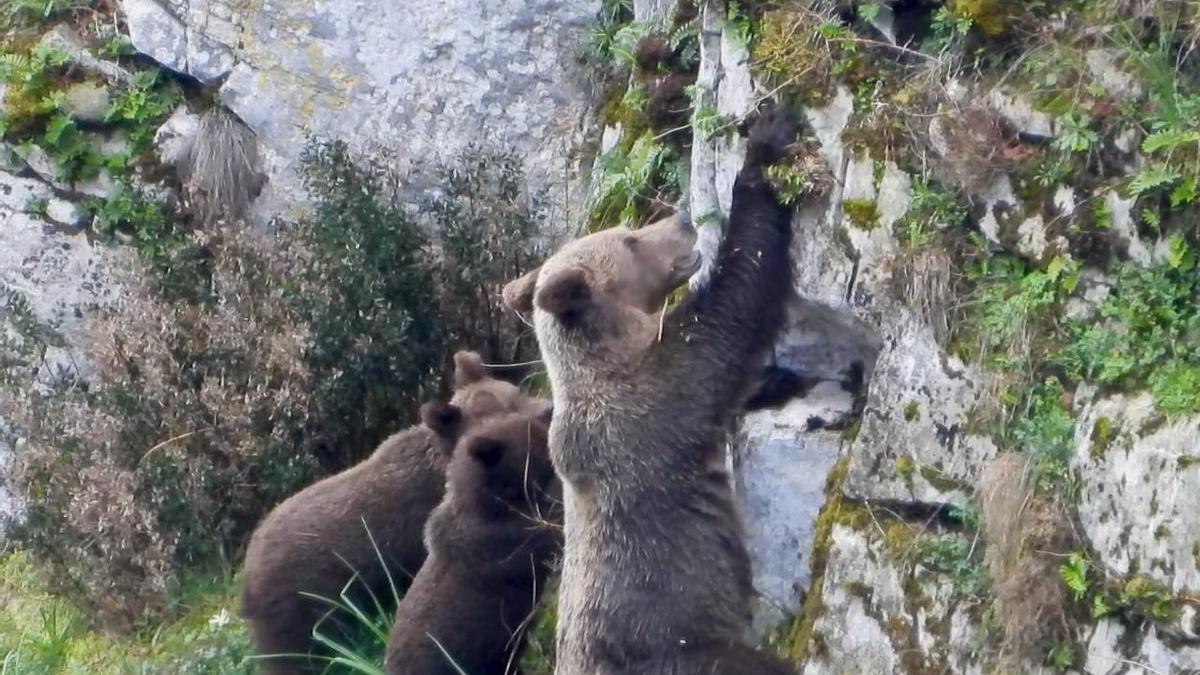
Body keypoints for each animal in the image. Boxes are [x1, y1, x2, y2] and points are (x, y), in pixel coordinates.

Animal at [500, 102, 800, 674]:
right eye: (631, 240)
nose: (683, 218)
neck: (614, 351)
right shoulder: (659, 396)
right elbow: (733, 312)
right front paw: (763, 148)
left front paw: (779, 379)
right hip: (678, 649)